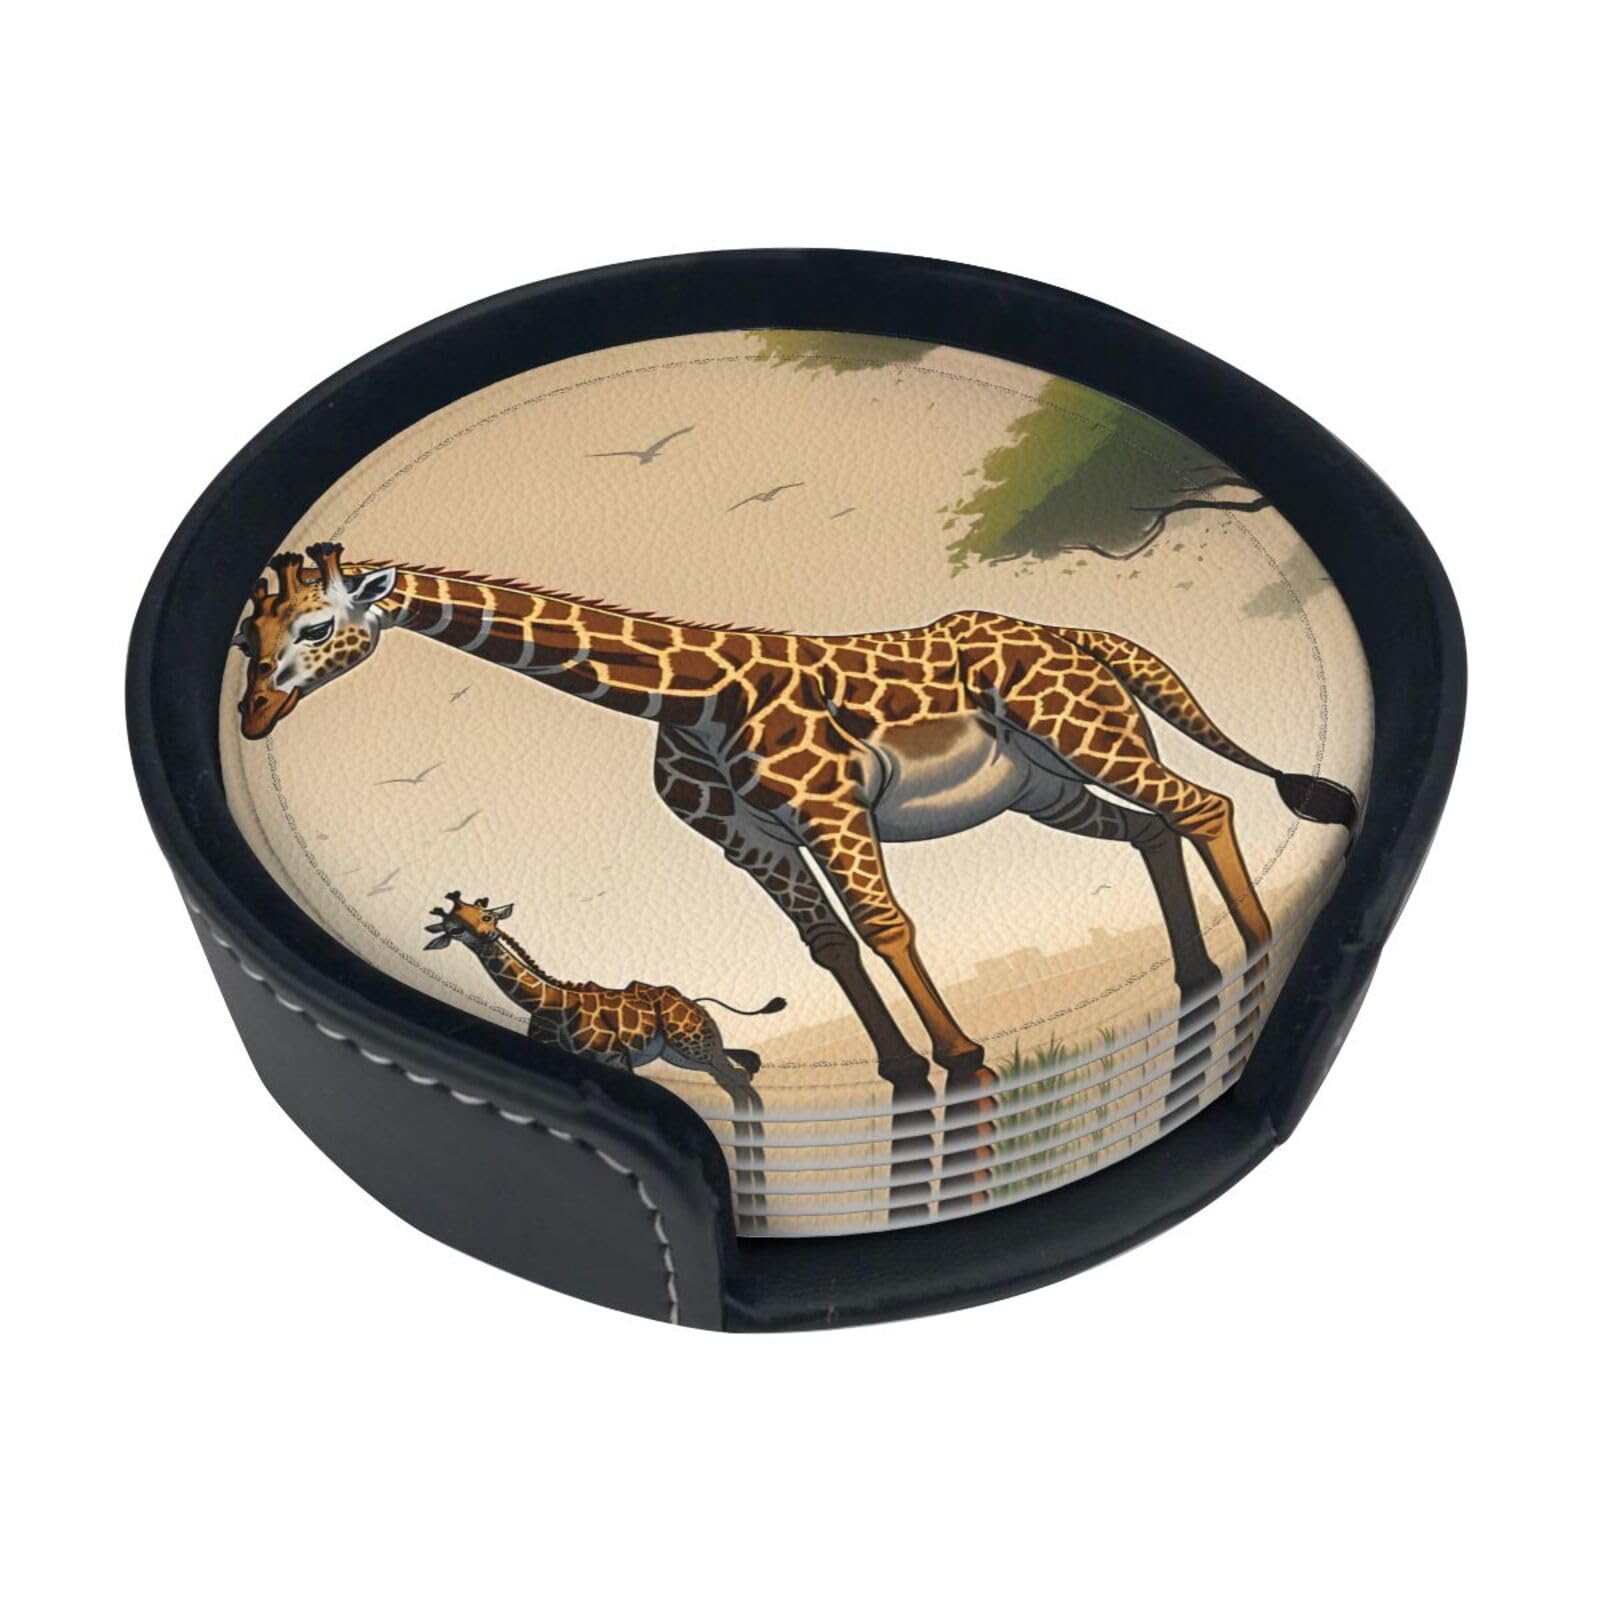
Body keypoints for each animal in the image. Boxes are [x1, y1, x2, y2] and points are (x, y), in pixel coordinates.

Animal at [237, 541, 1358, 1087]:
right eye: (250, 633)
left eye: (320, 626)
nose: (252, 716)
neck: (687, 693)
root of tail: (1084, 636)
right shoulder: (748, 841)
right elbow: (828, 945)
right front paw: (902, 1067)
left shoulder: (826, 803)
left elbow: (885, 925)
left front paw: (961, 1058)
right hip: (1045, 786)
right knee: (1155, 826)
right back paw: (1199, 977)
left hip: (1088, 735)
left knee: (1205, 803)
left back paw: (1257, 950)